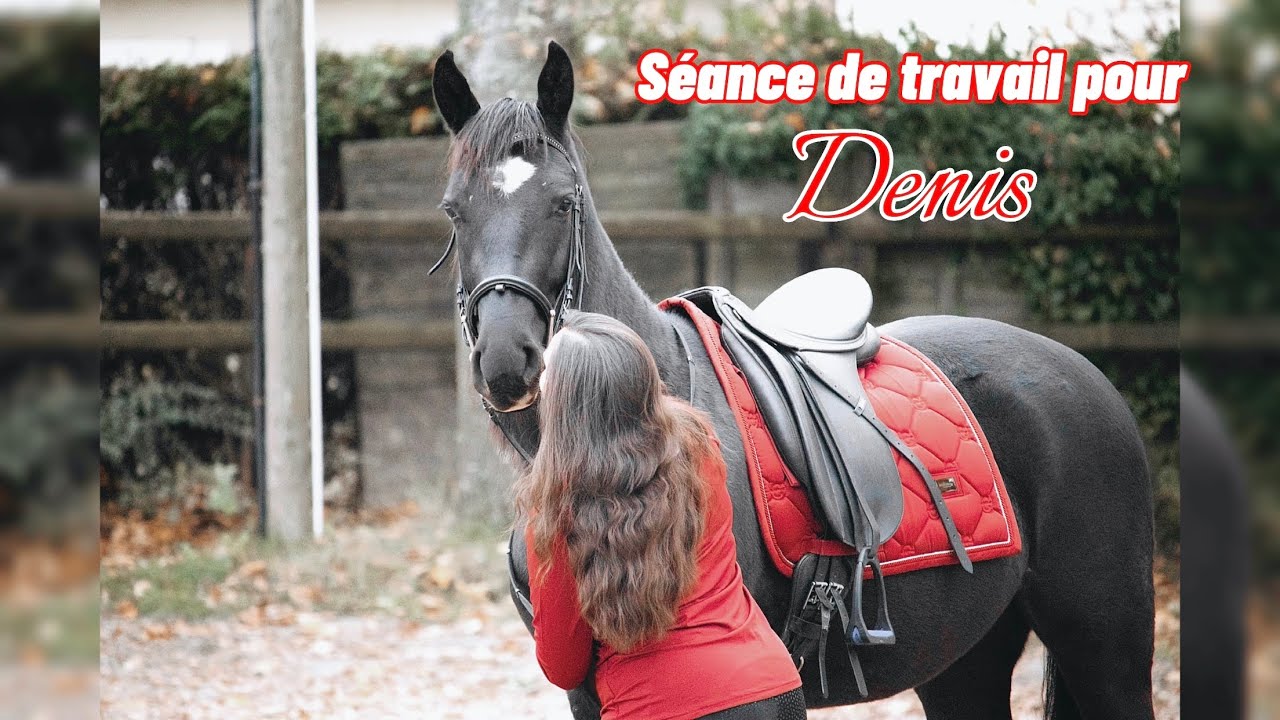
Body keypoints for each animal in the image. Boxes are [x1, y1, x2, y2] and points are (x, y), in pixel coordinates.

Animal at [429, 42, 1155, 720]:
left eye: (562, 203)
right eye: (455, 211)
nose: (506, 358)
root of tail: (1081, 372)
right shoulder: (586, 690)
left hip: (1105, 645)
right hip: (963, 659)